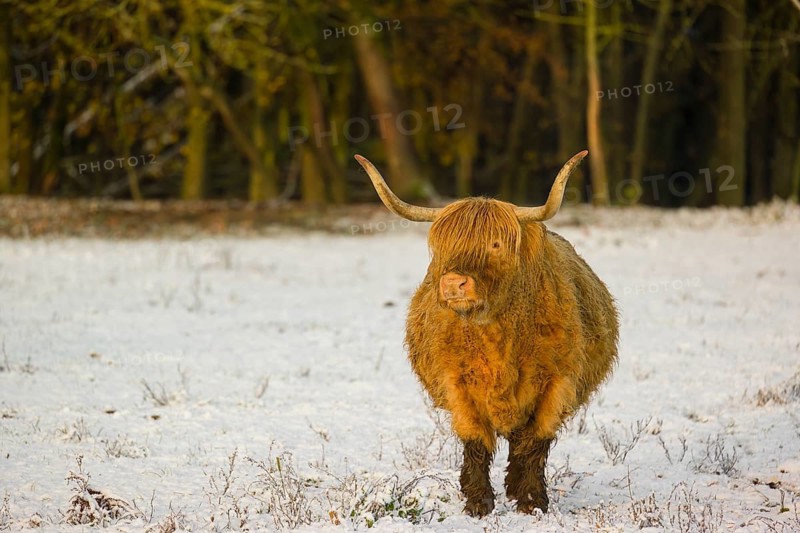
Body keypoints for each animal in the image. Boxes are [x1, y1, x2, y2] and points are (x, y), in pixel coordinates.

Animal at [354, 151, 619, 517]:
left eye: (495, 244)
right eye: (443, 246)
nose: (454, 283)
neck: (498, 340)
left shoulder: (558, 383)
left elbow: (536, 441)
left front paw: (531, 501)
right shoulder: (456, 383)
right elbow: (476, 441)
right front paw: (478, 502)